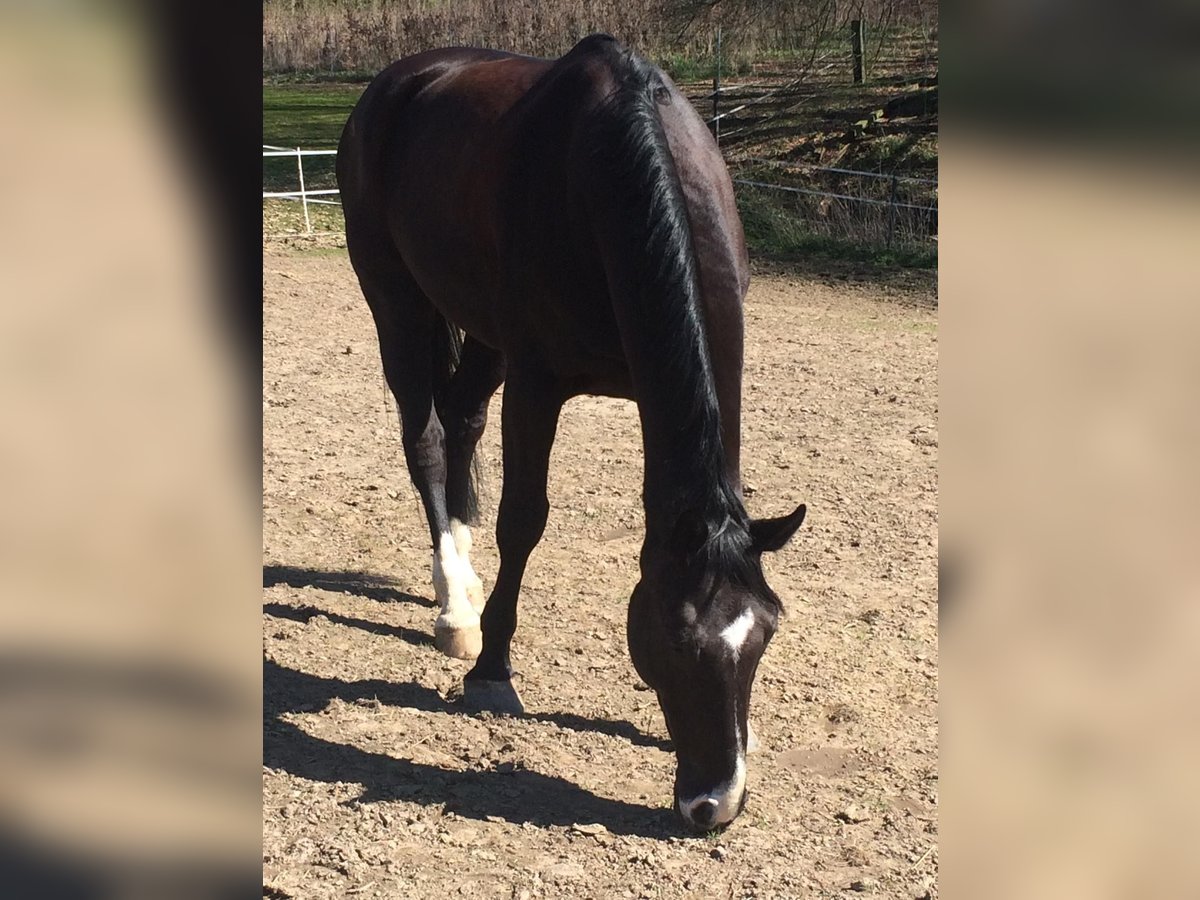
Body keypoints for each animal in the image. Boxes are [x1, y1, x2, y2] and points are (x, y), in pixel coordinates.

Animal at [338, 35, 806, 840]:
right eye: (676, 638)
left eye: (765, 633)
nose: (714, 805)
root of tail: (398, 81)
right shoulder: (538, 381)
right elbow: (523, 520)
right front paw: (491, 671)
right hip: (395, 299)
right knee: (424, 434)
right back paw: (455, 608)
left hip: (480, 334)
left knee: (462, 419)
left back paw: (461, 579)